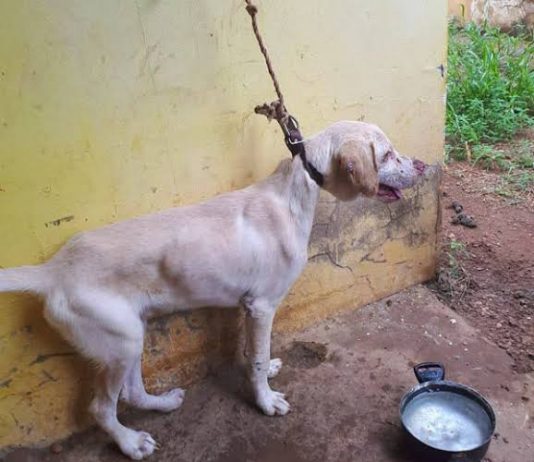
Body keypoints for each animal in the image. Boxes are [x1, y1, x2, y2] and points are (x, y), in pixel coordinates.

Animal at [0, 121, 426, 459]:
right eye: (387, 155)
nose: (422, 165)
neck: (293, 194)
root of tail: (53, 270)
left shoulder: (246, 306)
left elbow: (252, 353)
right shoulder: (262, 306)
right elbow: (257, 359)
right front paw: (265, 400)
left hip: (131, 332)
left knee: (131, 393)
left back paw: (163, 403)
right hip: (119, 341)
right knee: (101, 408)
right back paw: (130, 442)